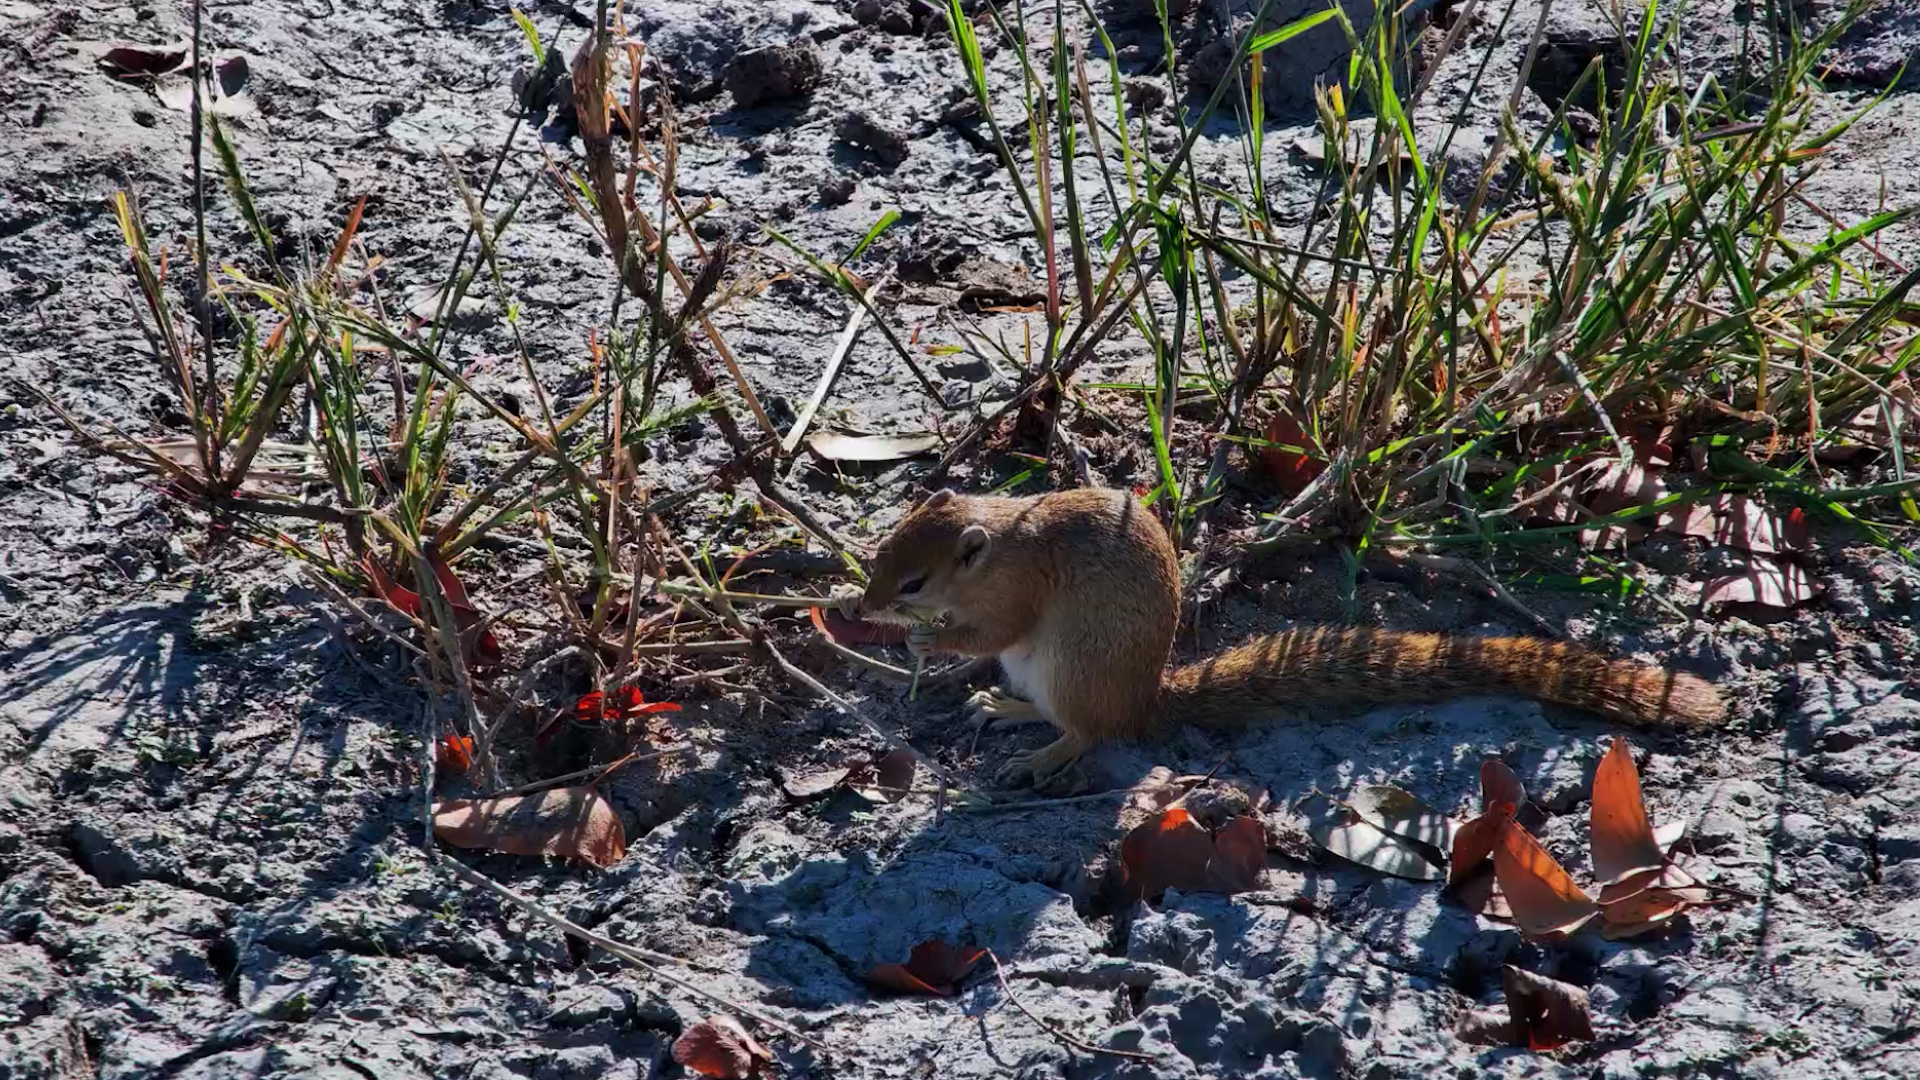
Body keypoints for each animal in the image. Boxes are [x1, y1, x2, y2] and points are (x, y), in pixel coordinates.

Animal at [842, 487, 1726, 788]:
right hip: (1035, 672)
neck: (997, 541)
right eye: (884, 552)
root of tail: (1149, 700)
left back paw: (1041, 755)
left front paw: (927, 646)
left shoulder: (1017, 598)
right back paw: (1008, 710)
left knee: (1090, 734)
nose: (866, 602)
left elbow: (988, 629)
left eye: (912, 582)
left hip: (1068, 670)